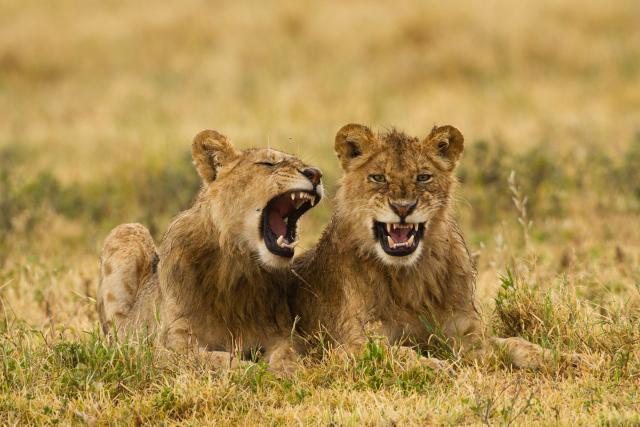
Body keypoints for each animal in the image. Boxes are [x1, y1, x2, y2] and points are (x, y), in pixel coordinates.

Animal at [97, 129, 324, 374]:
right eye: (268, 163)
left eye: (305, 165)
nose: (316, 174)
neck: (239, 265)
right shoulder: (171, 345)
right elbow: (218, 360)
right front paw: (258, 371)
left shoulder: (282, 333)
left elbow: (287, 353)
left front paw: (287, 370)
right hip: (127, 231)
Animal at [289, 123, 576, 370]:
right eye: (378, 177)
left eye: (423, 177)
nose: (403, 207)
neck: (409, 278)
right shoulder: (345, 346)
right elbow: (393, 352)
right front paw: (434, 366)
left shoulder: (467, 336)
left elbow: (515, 343)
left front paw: (562, 358)